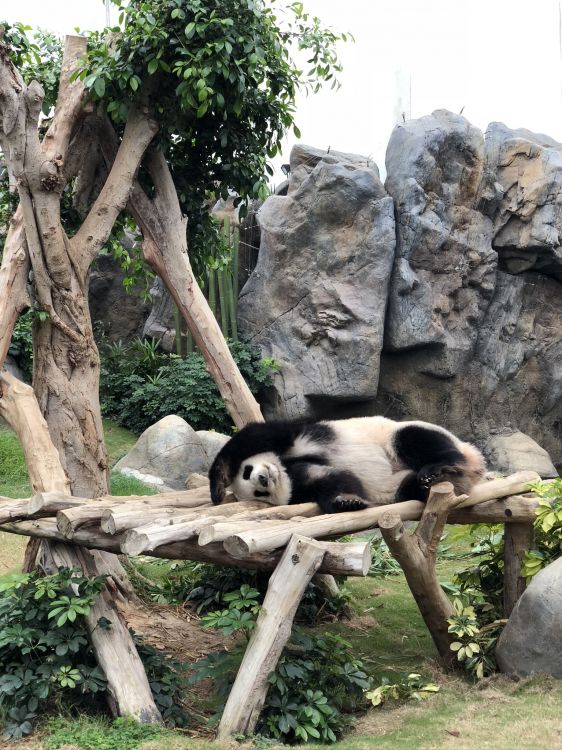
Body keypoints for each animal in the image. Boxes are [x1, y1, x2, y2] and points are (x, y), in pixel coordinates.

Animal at [209, 416, 486, 513]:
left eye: (247, 471)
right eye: (259, 493)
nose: (264, 479)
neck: (284, 467)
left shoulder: (297, 437)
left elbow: (255, 436)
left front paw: (218, 486)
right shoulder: (299, 485)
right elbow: (334, 480)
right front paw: (347, 502)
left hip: (396, 434)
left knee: (413, 439)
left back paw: (437, 467)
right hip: (400, 485)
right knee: (409, 488)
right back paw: (432, 483)